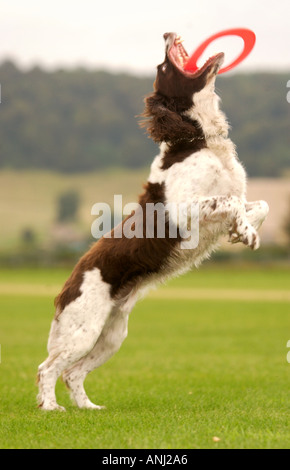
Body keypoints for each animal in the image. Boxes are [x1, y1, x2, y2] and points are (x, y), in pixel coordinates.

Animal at [37, 31, 268, 410]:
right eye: (162, 67)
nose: (167, 34)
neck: (197, 140)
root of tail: (66, 285)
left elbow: (258, 204)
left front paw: (243, 231)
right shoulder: (184, 209)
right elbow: (231, 200)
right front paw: (245, 232)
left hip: (111, 334)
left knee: (72, 373)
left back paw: (88, 408)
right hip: (83, 329)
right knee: (48, 368)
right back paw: (50, 408)